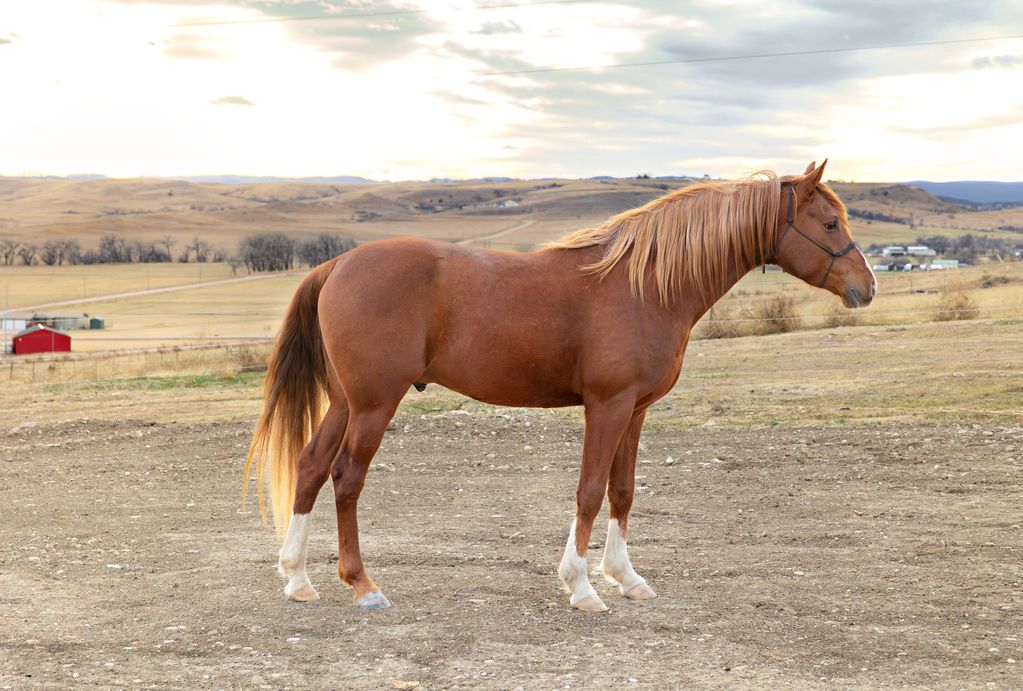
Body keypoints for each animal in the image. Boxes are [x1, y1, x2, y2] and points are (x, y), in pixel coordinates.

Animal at [243, 160, 876, 612]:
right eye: (828, 224)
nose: (865, 287)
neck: (644, 285)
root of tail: (338, 264)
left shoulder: (635, 410)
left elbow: (623, 492)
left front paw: (625, 577)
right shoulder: (607, 406)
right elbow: (590, 492)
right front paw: (581, 586)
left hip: (345, 402)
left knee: (310, 466)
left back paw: (298, 578)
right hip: (375, 403)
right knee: (347, 477)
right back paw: (362, 585)